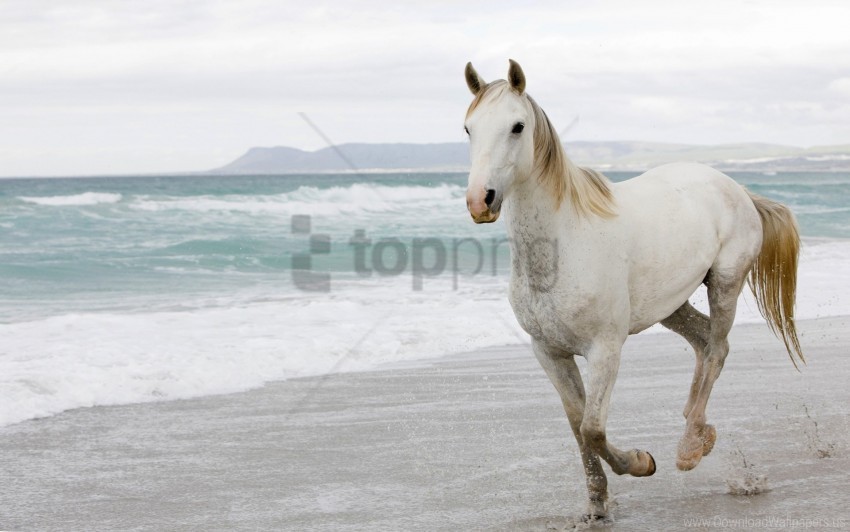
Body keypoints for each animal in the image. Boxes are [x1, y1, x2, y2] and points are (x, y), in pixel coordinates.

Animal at [464, 60, 800, 520]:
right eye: (469, 128)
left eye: (517, 126)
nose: (481, 200)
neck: (564, 243)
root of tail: (736, 188)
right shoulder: (549, 352)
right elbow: (577, 426)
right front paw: (596, 505)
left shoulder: (605, 348)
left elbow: (592, 427)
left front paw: (642, 463)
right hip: (671, 304)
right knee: (703, 342)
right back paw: (696, 429)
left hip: (725, 284)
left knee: (717, 349)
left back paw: (689, 447)